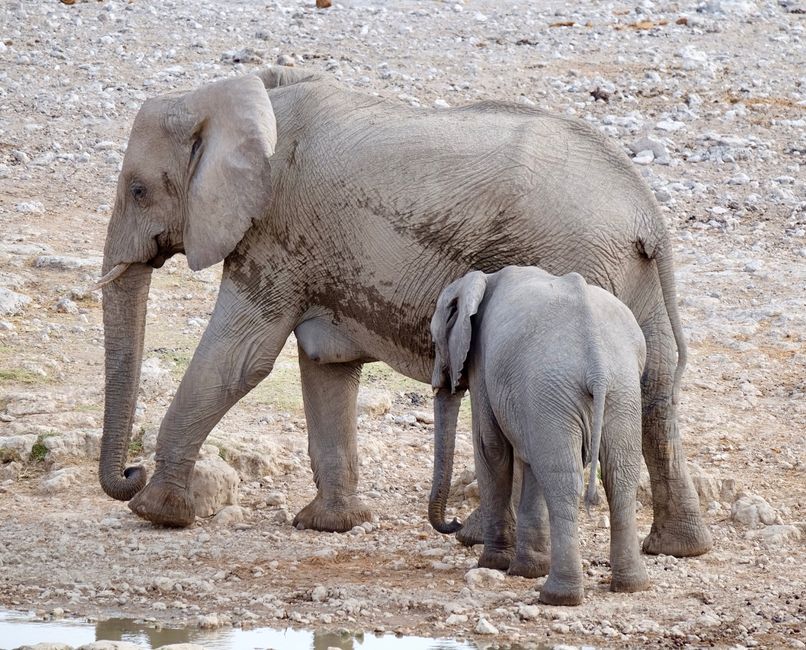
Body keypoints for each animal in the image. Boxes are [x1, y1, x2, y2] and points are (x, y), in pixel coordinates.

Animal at [99, 66, 712, 556]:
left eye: (138, 190)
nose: (130, 471)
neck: (245, 97)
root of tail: (646, 215)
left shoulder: (275, 231)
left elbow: (240, 360)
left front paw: (156, 513)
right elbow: (325, 365)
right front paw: (330, 525)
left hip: (571, 258)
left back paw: (479, 537)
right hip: (633, 280)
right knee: (656, 393)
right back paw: (677, 549)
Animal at [430, 264, 652, 604]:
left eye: (434, 340)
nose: (454, 523)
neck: (483, 279)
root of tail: (598, 366)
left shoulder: (483, 359)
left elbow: (491, 448)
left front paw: (494, 564)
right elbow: (529, 460)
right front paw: (527, 570)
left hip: (557, 388)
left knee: (562, 481)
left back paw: (558, 596)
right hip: (621, 390)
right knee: (619, 476)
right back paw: (631, 585)